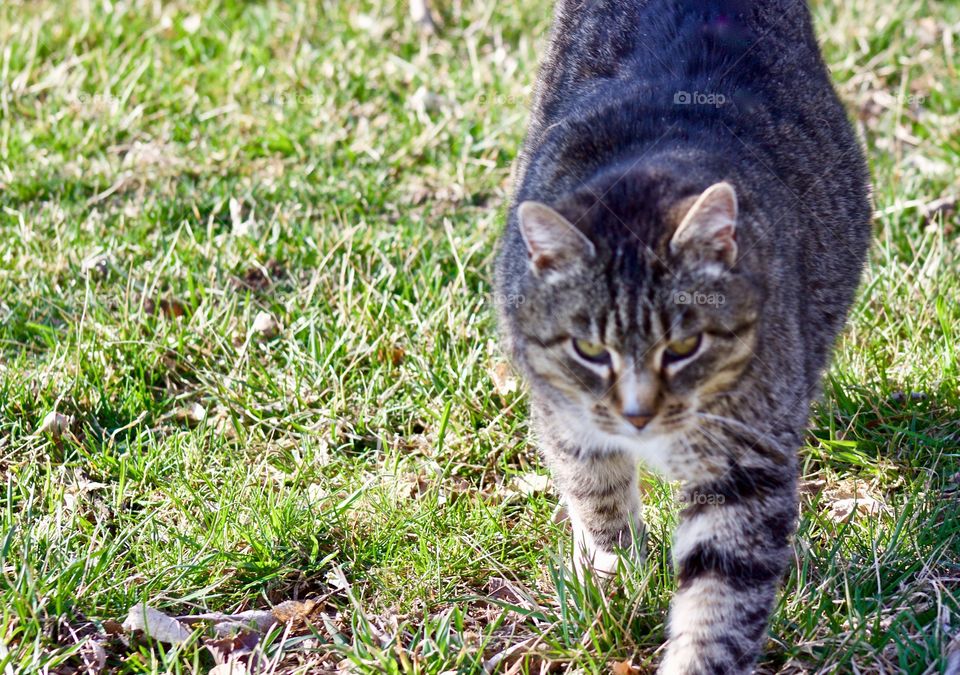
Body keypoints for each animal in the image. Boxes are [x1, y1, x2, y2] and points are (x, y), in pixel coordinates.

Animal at [492, 0, 872, 672]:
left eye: (684, 348)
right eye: (589, 350)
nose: (639, 415)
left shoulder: (745, 466)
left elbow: (719, 605)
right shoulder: (565, 415)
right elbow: (597, 493)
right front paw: (614, 570)